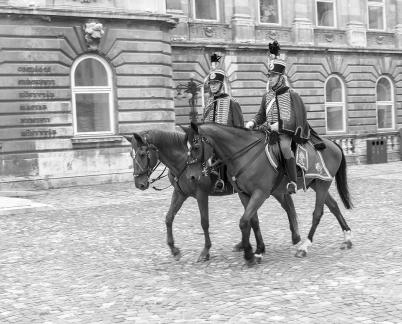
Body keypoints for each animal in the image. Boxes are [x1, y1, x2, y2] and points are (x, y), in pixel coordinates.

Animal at [125, 128, 302, 262]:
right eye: (131, 155)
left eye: (142, 154)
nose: (139, 184)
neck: (183, 160)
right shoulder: (180, 193)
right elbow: (169, 218)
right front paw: (174, 249)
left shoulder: (201, 194)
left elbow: (204, 222)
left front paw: (205, 251)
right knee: (285, 206)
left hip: (270, 189)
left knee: (287, 207)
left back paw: (295, 237)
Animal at [184, 122, 354, 266]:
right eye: (187, 147)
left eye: (196, 146)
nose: (191, 177)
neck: (245, 155)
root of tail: (333, 144)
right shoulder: (244, 194)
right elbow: (253, 221)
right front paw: (258, 250)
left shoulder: (260, 193)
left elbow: (243, 222)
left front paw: (249, 254)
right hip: (317, 183)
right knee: (334, 206)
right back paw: (347, 238)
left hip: (323, 184)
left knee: (317, 213)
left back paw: (304, 247)